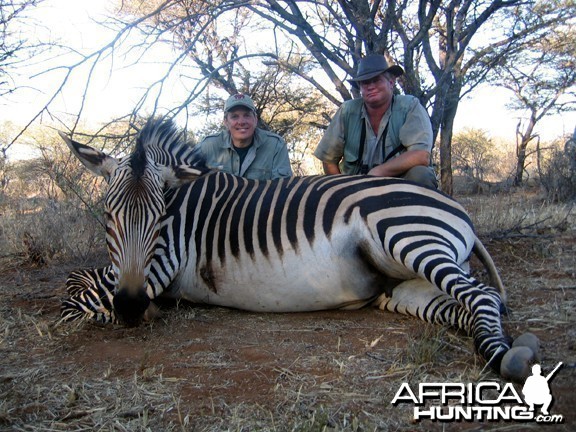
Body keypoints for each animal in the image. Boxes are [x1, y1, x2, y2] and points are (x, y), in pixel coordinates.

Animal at [57, 118, 536, 382]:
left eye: (160, 219)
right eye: (108, 216)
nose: (132, 307)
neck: (185, 205)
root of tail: (454, 206)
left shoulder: (159, 266)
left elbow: (75, 295)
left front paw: (113, 310)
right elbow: (80, 284)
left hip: (408, 235)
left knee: (480, 296)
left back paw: (503, 357)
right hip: (398, 285)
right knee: (467, 305)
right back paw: (517, 349)